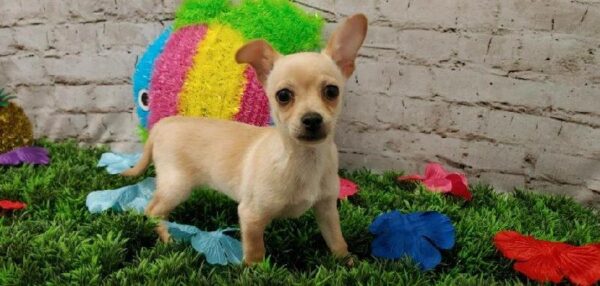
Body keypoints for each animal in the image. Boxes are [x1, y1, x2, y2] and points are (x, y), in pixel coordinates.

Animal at [121, 13, 366, 264]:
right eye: (283, 96)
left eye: (332, 91)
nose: (312, 119)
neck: (303, 158)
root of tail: (161, 126)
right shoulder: (251, 215)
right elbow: (256, 252)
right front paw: (255, 270)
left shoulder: (327, 209)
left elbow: (337, 241)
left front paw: (348, 262)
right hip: (176, 185)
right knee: (152, 210)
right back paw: (167, 239)